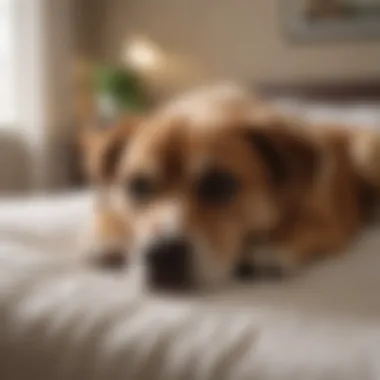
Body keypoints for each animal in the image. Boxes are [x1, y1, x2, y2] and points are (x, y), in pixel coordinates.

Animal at [81, 84, 380, 290]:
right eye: (138, 186)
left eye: (219, 185)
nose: (163, 254)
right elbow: (109, 212)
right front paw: (106, 239)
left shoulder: (331, 225)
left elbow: (304, 227)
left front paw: (271, 249)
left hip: (366, 152)